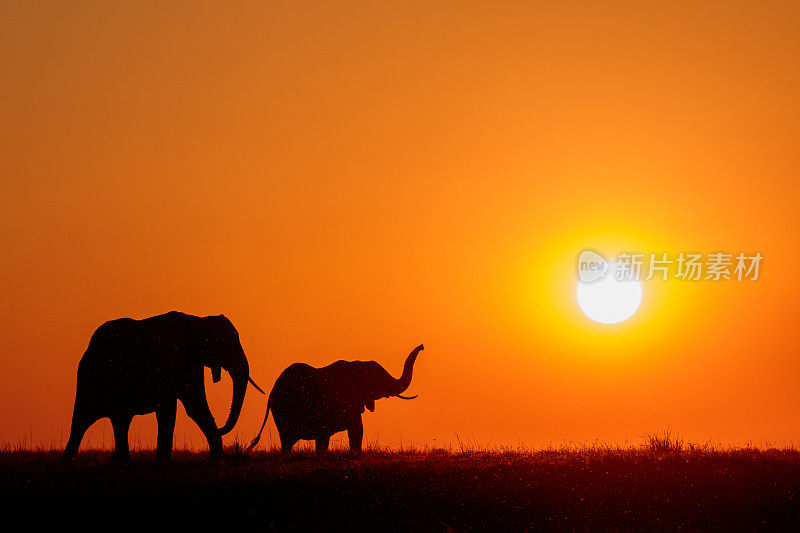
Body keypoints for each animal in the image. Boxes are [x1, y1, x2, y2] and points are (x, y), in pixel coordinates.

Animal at [63, 312, 262, 462]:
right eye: (227, 346)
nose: (221, 427)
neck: (198, 321)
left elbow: (185, 407)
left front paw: (216, 458)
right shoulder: (175, 360)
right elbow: (188, 406)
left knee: (119, 420)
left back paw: (120, 462)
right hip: (91, 378)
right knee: (83, 419)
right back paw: (69, 461)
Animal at [250, 340, 424, 454]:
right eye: (379, 381)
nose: (422, 346)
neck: (357, 365)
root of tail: (271, 395)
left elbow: (354, 431)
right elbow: (353, 430)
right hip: (283, 411)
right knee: (287, 440)